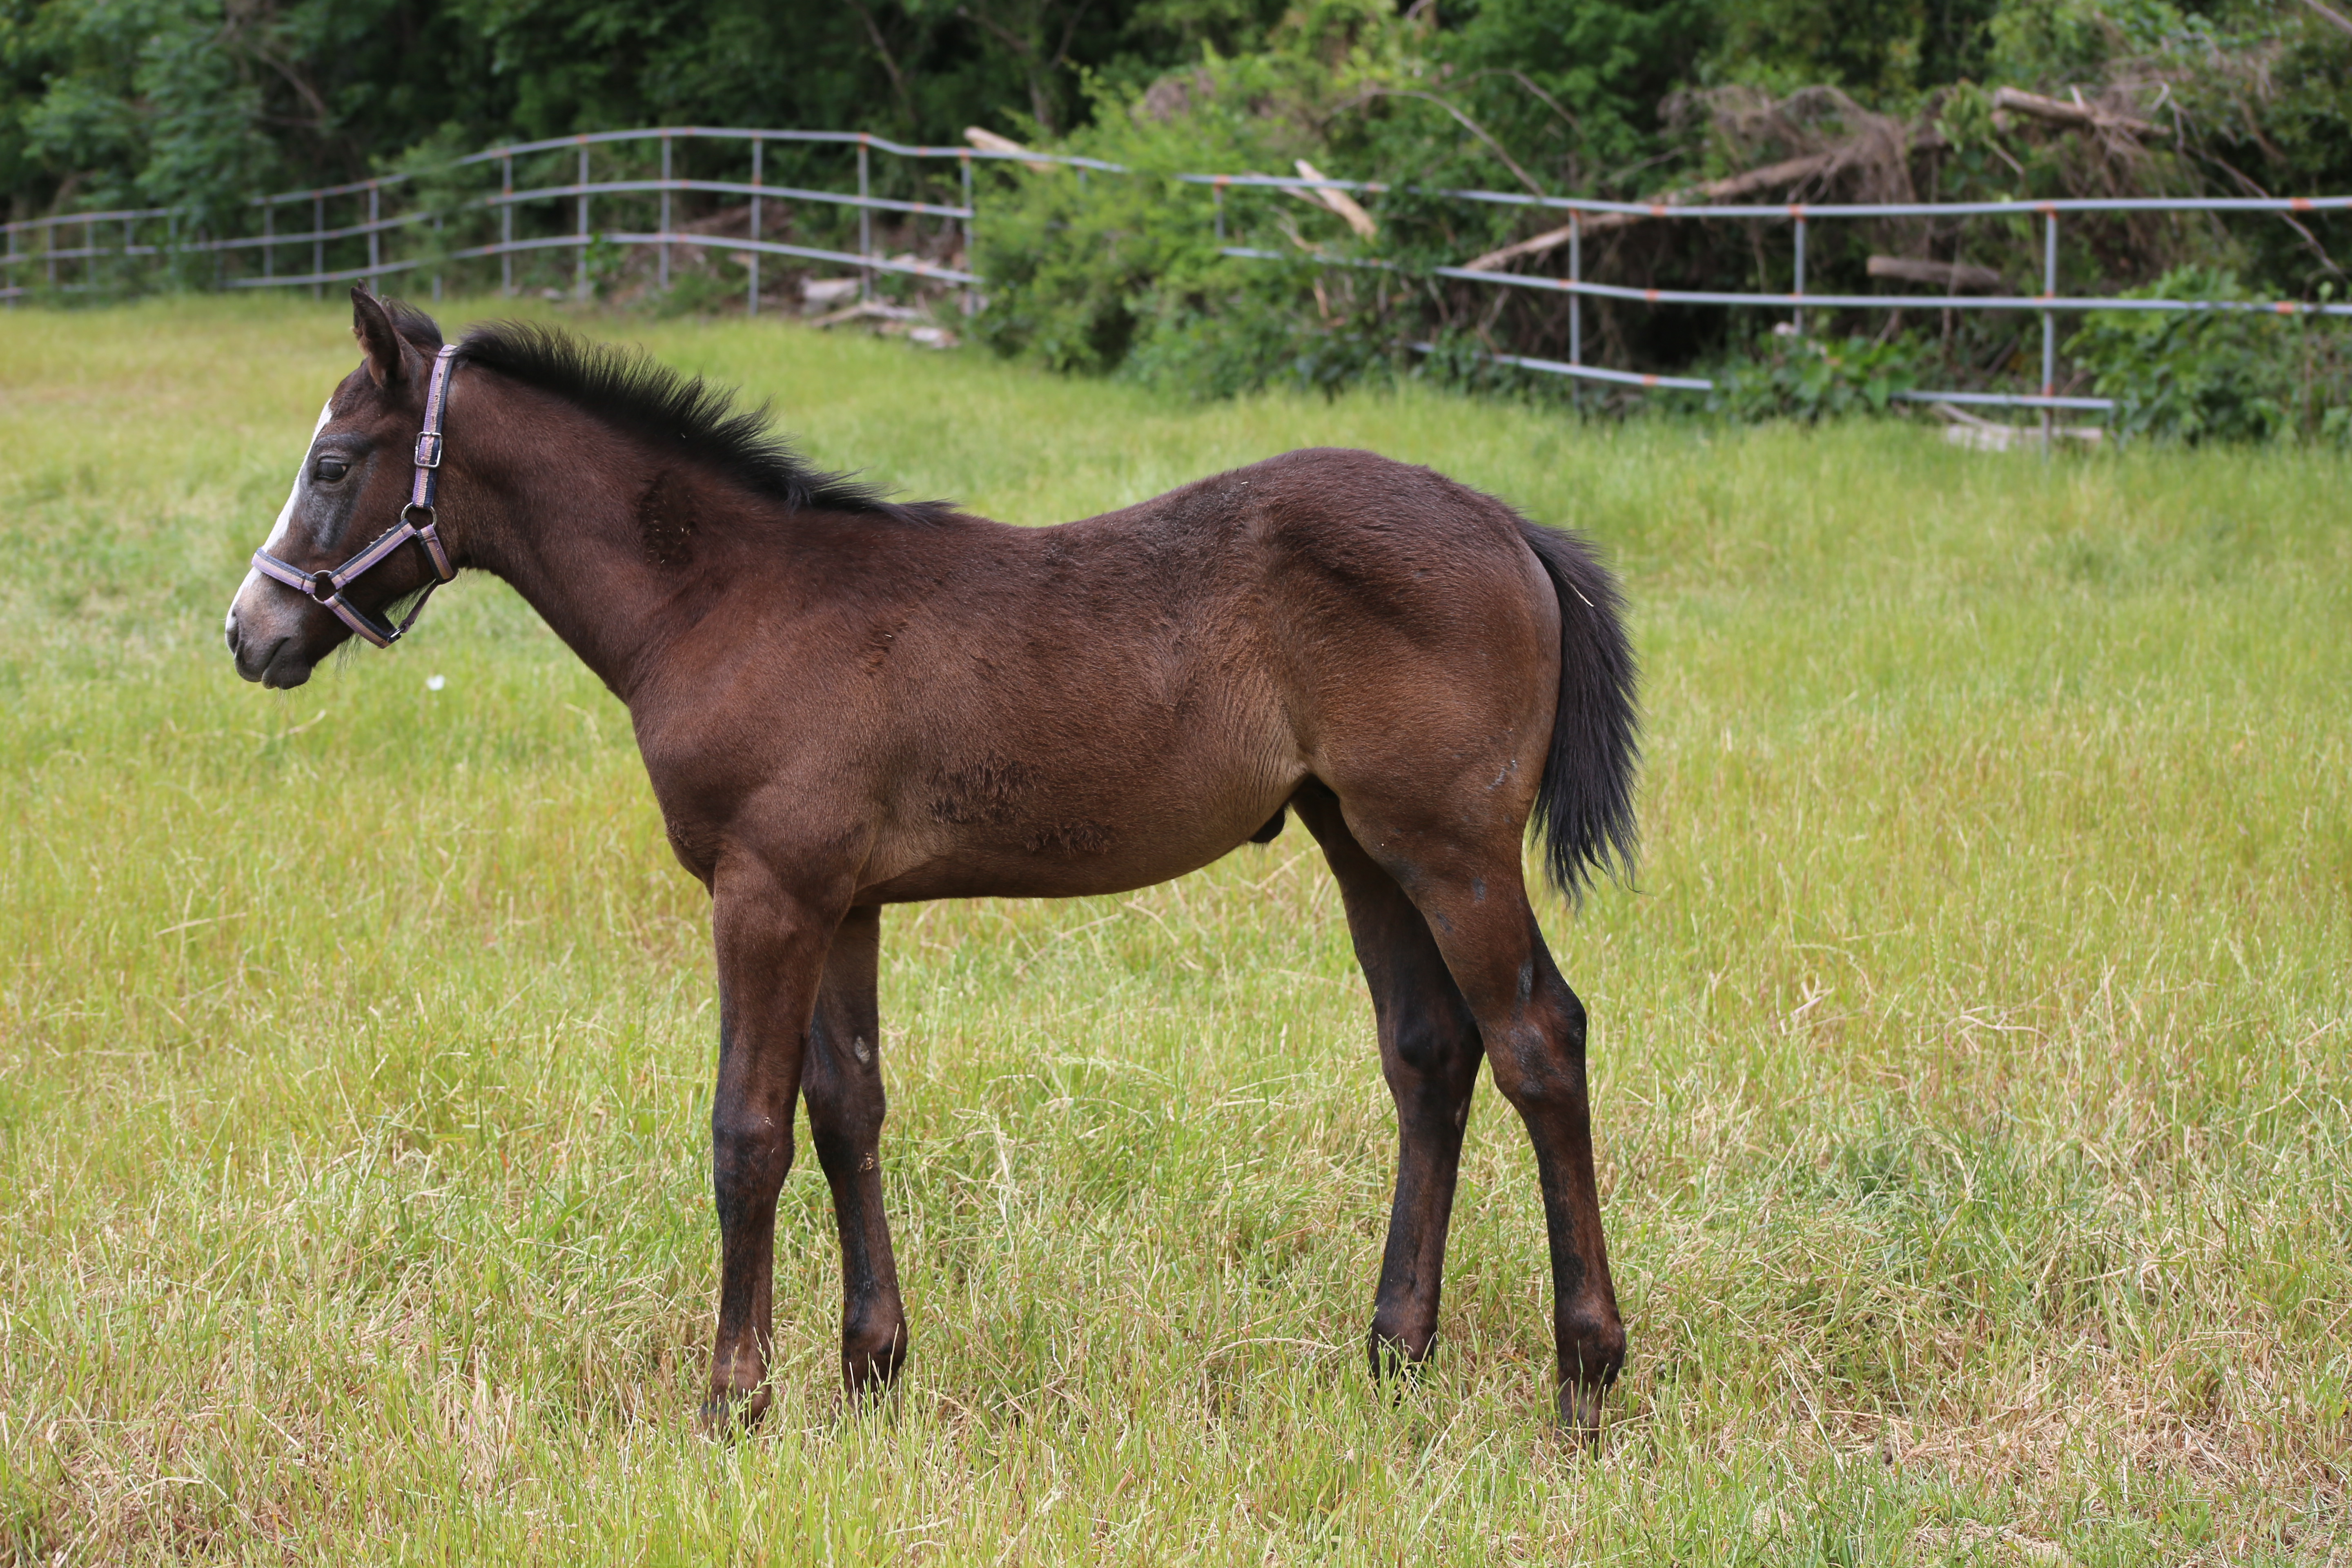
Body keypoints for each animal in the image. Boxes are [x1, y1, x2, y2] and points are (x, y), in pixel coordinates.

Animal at [229, 288, 1646, 1439]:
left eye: (332, 461)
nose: (251, 632)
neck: (726, 604)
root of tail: (1506, 523)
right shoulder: (841, 901)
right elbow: (845, 1109)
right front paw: (872, 1372)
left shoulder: (763, 894)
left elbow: (746, 1130)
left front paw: (732, 1401)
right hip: (1362, 842)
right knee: (1431, 1052)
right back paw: (1395, 1354)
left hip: (1453, 848)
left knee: (1537, 1040)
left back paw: (1583, 1378)